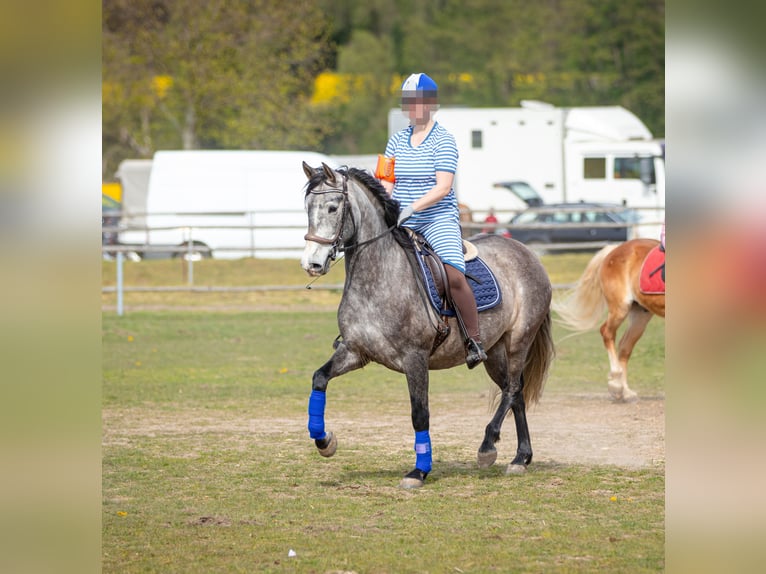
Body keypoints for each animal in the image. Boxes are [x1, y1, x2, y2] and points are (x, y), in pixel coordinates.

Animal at [298, 163, 552, 490]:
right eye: (307, 207)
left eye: (332, 207)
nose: (312, 264)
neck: (379, 275)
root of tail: (526, 252)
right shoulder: (355, 351)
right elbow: (319, 379)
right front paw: (324, 441)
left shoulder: (415, 359)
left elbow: (420, 414)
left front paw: (419, 471)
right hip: (494, 352)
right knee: (515, 392)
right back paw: (521, 457)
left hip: (519, 340)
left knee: (511, 390)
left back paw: (488, 447)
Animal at [552, 241, 664, 402]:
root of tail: (615, 248)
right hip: (620, 308)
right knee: (607, 333)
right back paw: (616, 385)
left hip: (640, 315)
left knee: (624, 346)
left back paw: (625, 391)